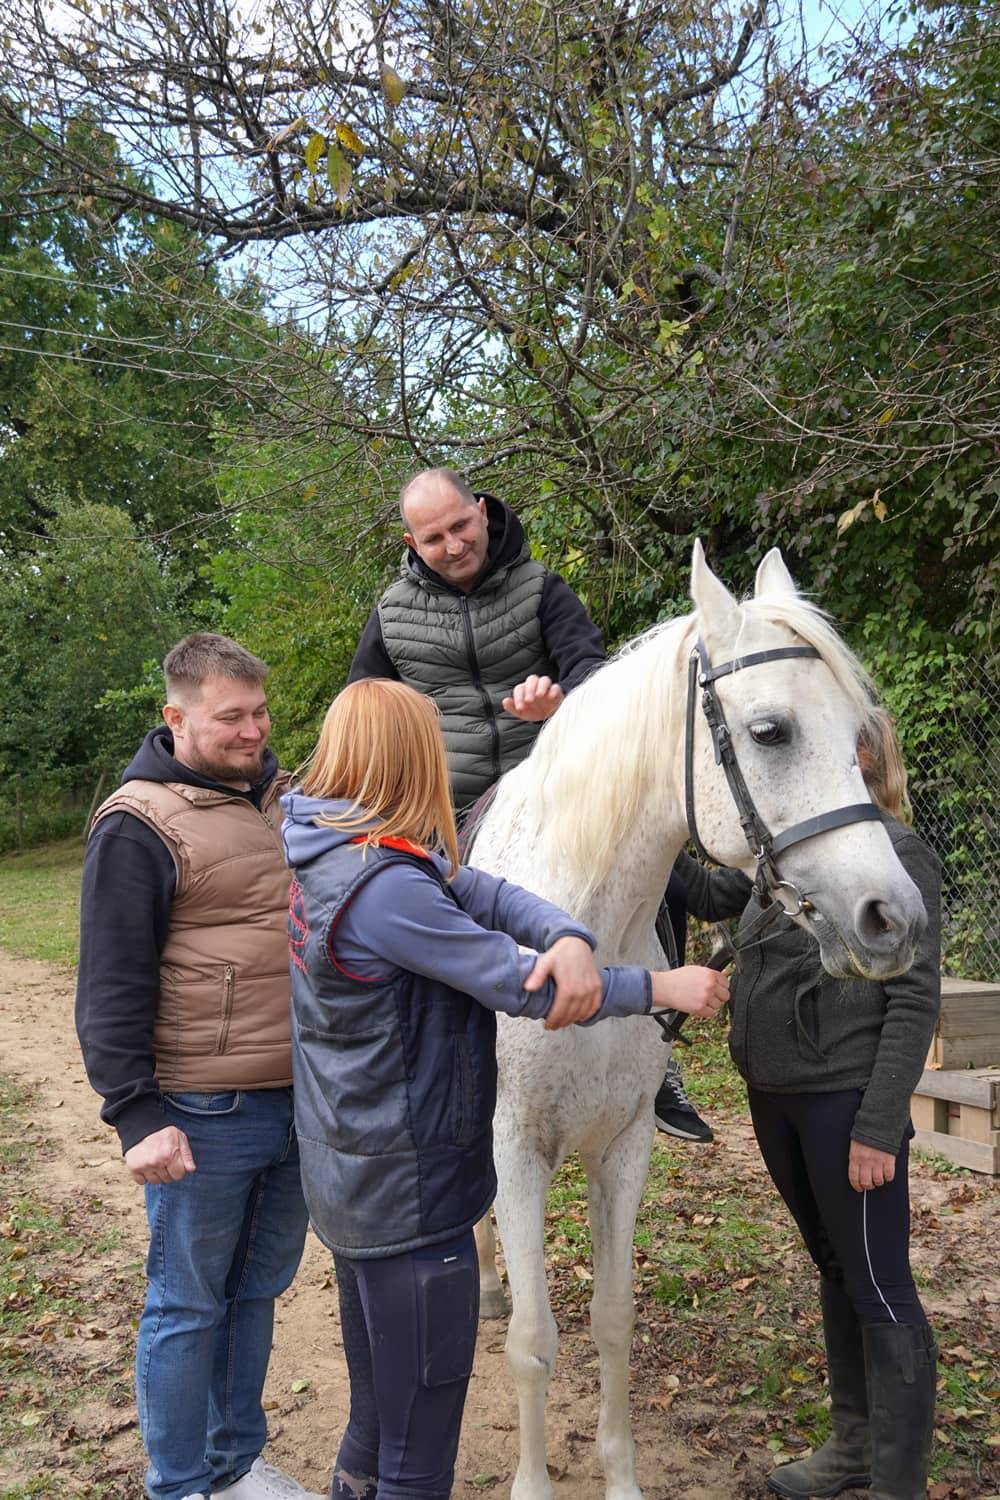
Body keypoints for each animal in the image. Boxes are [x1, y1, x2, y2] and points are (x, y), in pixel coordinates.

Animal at [467, 542, 926, 1500]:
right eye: (771, 731)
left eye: (857, 737)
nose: (893, 919)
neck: (578, 936)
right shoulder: (517, 1146)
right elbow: (533, 1342)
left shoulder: (625, 1145)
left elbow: (610, 1320)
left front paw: (621, 1479)